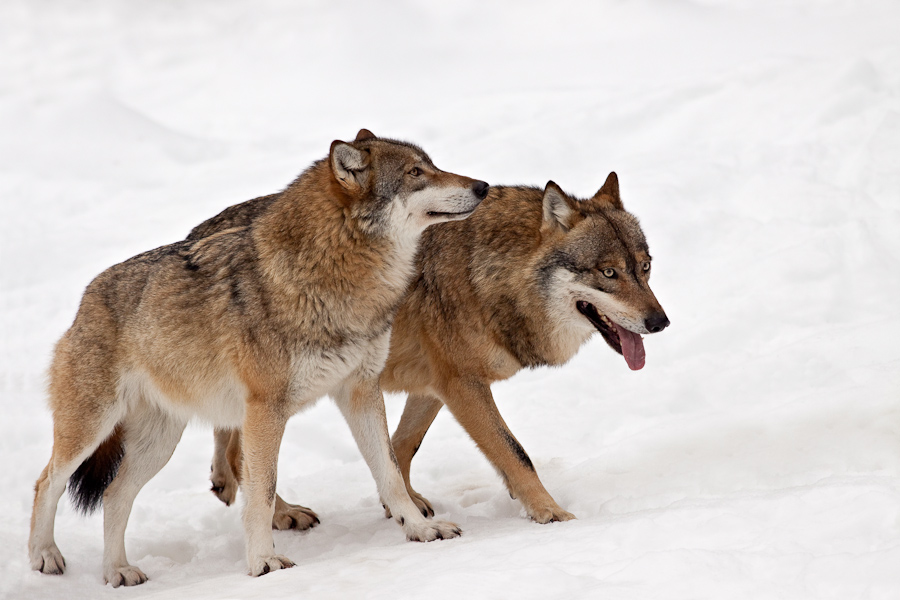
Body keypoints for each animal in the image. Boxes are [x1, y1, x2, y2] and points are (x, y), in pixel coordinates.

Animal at [28, 127, 488, 584]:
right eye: (415, 173)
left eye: (430, 165)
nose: (482, 186)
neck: (332, 275)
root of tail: (86, 297)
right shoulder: (266, 410)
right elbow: (262, 492)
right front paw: (264, 562)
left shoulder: (360, 391)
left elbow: (390, 474)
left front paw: (422, 529)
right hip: (90, 430)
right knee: (46, 482)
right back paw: (45, 556)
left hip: (159, 442)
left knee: (114, 495)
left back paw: (117, 571)